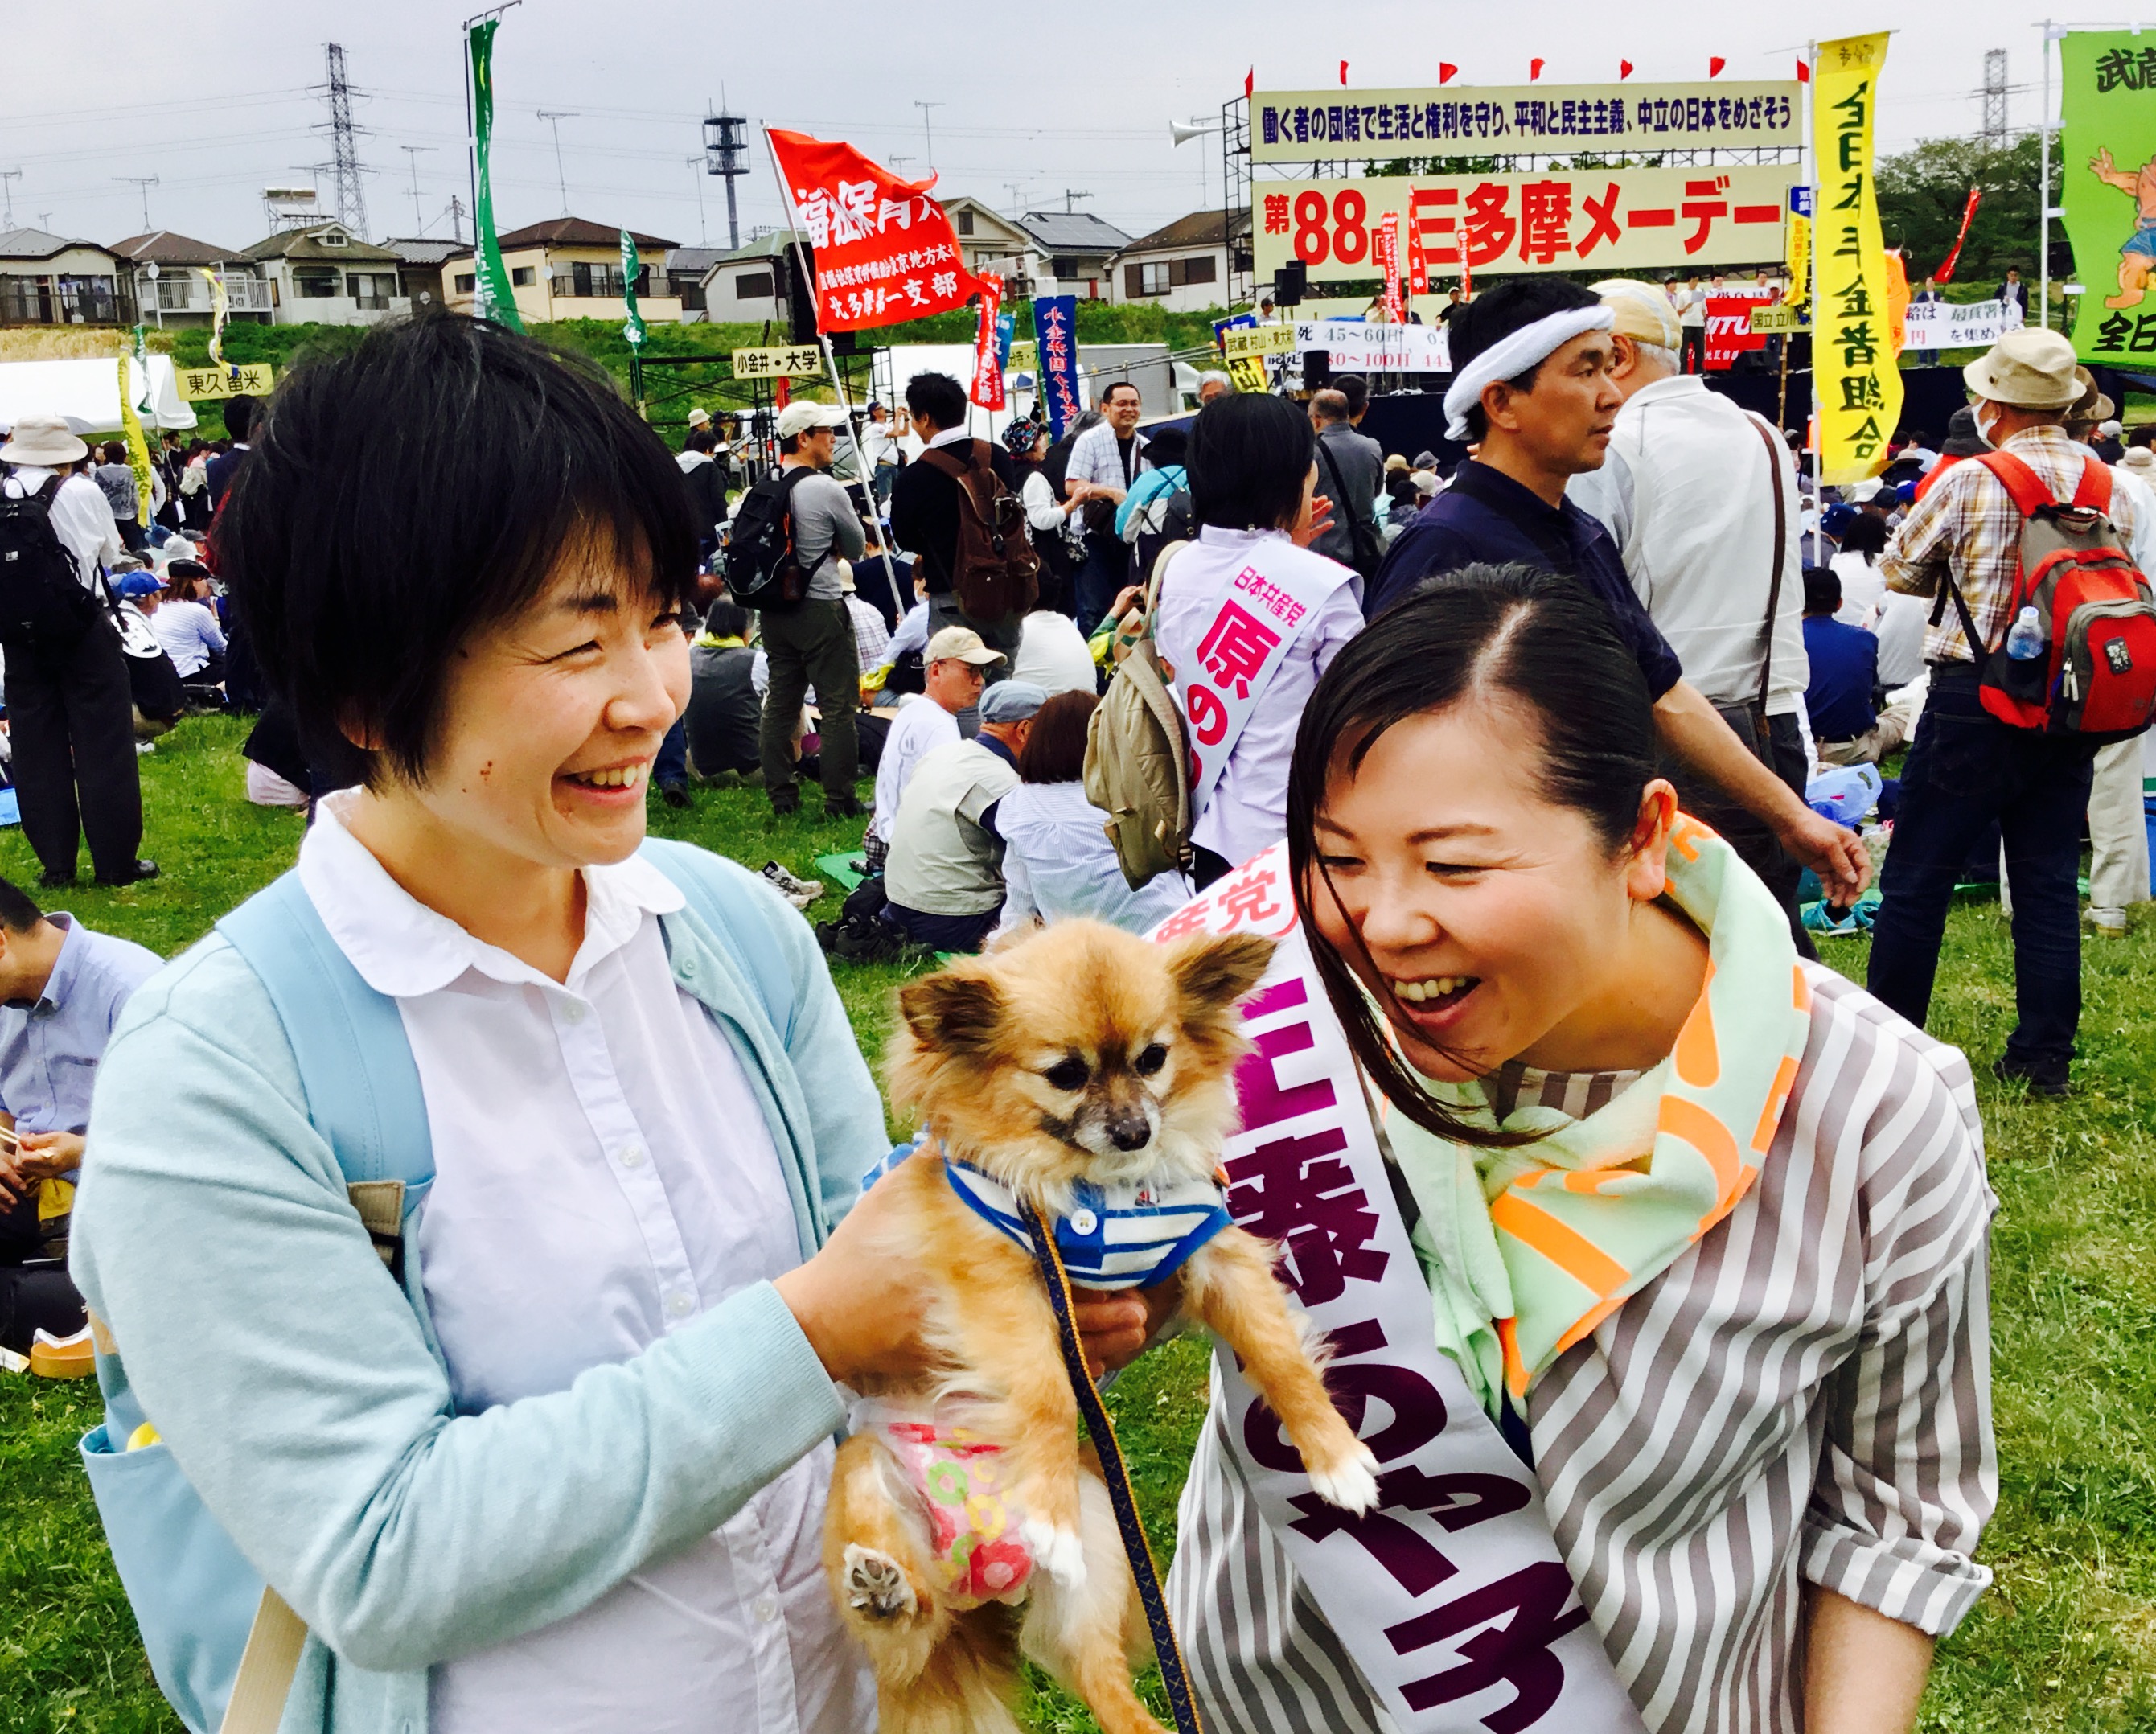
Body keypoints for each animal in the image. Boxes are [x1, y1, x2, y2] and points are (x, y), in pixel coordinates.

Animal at [823, 919, 1379, 1734]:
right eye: (1064, 1074)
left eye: (1153, 1058)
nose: (1133, 1130)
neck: (1099, 1191)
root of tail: (984, 1581)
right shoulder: (1000, 1280)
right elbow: (1050, 1394)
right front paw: (1047, 1515)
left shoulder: (1213, 1253)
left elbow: (1279, 1357)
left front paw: (1335, 1459)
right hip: (867, 1476)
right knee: (913, 1637)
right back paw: (886, 1591)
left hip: (1099, 1574)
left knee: (1109, 1690)